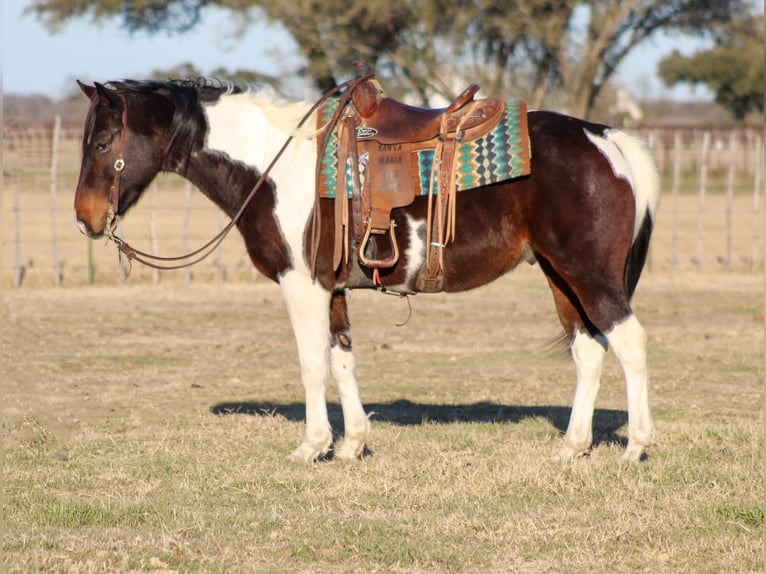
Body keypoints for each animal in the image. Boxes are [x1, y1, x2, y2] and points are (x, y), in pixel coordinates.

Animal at [73, 77, 660, 464]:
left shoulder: (301, 285)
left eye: (101, 143)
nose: (85, 218)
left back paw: (635, 448)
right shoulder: (332, 290)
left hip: (589, 276)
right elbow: (342, 361)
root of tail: (606, 139)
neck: (277, 165)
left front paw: (312, 447)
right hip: (560, 276)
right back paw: (572, 447)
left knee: (630, 343)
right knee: (588, 351)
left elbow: (312, 364)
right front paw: (352, 444)